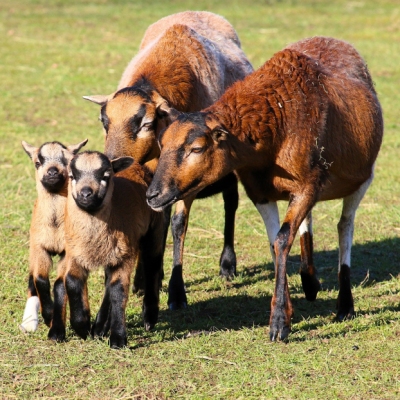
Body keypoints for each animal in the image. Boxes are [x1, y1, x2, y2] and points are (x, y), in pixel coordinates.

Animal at [19, 139, 87, 332]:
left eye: (68, 162)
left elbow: (60, 283)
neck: (55, 226)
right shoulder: (39, 248)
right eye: (37, 162)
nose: (52, 172)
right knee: (32, 279)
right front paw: (48, 316)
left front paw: (56, 322)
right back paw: (29, 322)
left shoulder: (67, 252)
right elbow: (40, 280)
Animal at [48, 152, 164, 348]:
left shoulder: (125, 255)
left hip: (154, 230)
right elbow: (71, 281)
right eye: (72, 176)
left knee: (152, 266)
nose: (85, 194)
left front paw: (118, 339)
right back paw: (90, 328)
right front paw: (82, 325)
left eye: (105, 176)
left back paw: (149, 317)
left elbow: (118, 290)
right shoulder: (76, 253)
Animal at [83, 10, 256, 310]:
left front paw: (177, 291)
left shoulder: (190, 175)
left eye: (146, 123)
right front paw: (143, 281)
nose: (112, 165)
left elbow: (178, 224)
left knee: (230, 203)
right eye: (104, 121)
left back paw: (227, 266)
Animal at [146, 36, 384, 340]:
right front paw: (289, 311)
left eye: (197, 148)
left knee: (345, 226)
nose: (152, 195)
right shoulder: (259, 192)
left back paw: (344, 305)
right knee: (308, 223)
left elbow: (283, 240)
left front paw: (279, 323)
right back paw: (310, 282)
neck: (277, 114)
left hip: (362, 179)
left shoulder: (307, 185)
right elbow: (276, 243)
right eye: (162, 143)